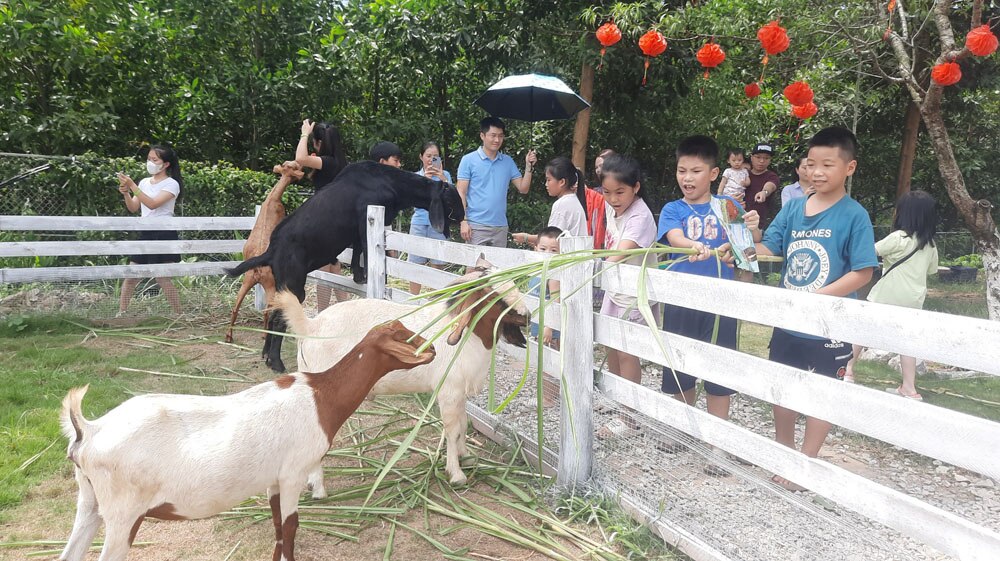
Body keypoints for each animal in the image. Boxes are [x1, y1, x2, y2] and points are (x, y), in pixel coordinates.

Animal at [57, 320, 434, 560]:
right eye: (404, 335)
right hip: (124, 512)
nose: (432, 351)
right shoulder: (294, 472)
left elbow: (278, 525)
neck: (320, 396)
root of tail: (89, 430)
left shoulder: (273, 479)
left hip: (89, 502)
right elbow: (292, 526)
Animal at [227, 161, 464, 372]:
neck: (391, 182)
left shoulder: (357, 230)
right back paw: (276, 363)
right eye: (451, 198)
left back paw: (266, 354)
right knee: (278, 317)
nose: (463, 216)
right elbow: (366, 250)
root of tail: (272, 249)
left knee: (272, 310)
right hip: (294, 284)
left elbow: (358, 252)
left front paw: (359, 277)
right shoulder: (365, 219)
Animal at [280, 260, 532, 488]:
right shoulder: (448, 392)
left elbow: (462, 425)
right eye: (495, 296)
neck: (467, 336)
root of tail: (312, 326)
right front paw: (456, 474)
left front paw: (466, 457)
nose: (528, 316)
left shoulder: (460, 394)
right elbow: (452, 430)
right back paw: (316, 485)